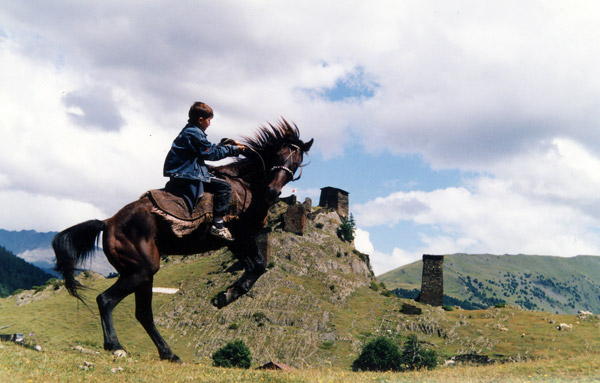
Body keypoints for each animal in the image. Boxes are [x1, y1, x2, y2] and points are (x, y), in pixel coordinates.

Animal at [52, 121, 314, 364]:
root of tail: (108, 222)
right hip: (141, 271)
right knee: (106, 300)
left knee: (143, 314)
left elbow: (254, 266)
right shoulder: (240, 236)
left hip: (142, 275)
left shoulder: (236, 241)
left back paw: (169, 354)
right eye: (278, 156)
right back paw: (116, 346)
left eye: (296, 161)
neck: (245, 186)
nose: (272, 192)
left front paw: (227, 294)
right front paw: (226, 296)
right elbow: (259, 265)